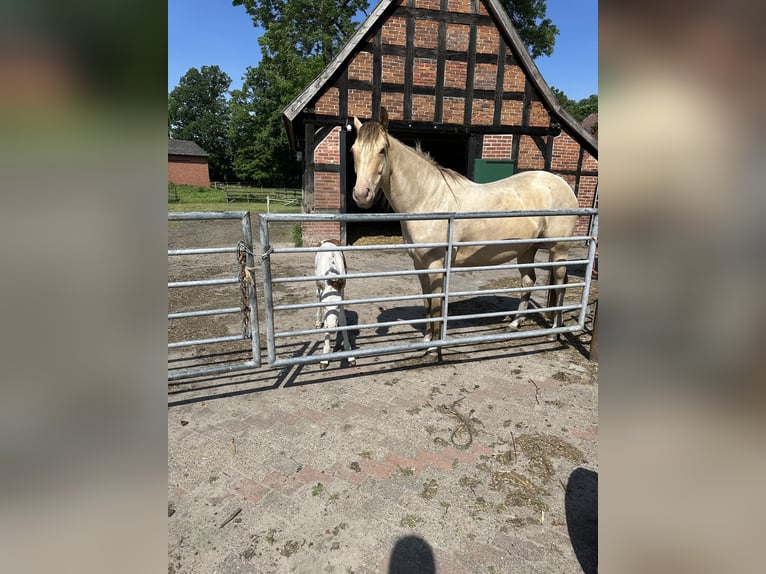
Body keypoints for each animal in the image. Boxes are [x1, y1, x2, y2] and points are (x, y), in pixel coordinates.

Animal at [316, 241, 356, 372]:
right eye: (325, 307)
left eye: (338, 306)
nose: (333, 327)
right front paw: (324, 358)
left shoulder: (342, 292)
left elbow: (343, 320)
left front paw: (350, 356)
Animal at [352, 107, 580, 352]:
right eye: (353, 150)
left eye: (382, 150)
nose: (361, 195)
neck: (428, 199)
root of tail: (563, 184)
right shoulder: (419, 264)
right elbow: (427, 301)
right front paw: (427, 339)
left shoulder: (436, 265)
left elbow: (435, 305)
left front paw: (433, 348)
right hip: (527, 250)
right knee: (528, 282)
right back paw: (515, 324)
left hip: (558, 250)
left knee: (560, 284)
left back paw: (554, 333)